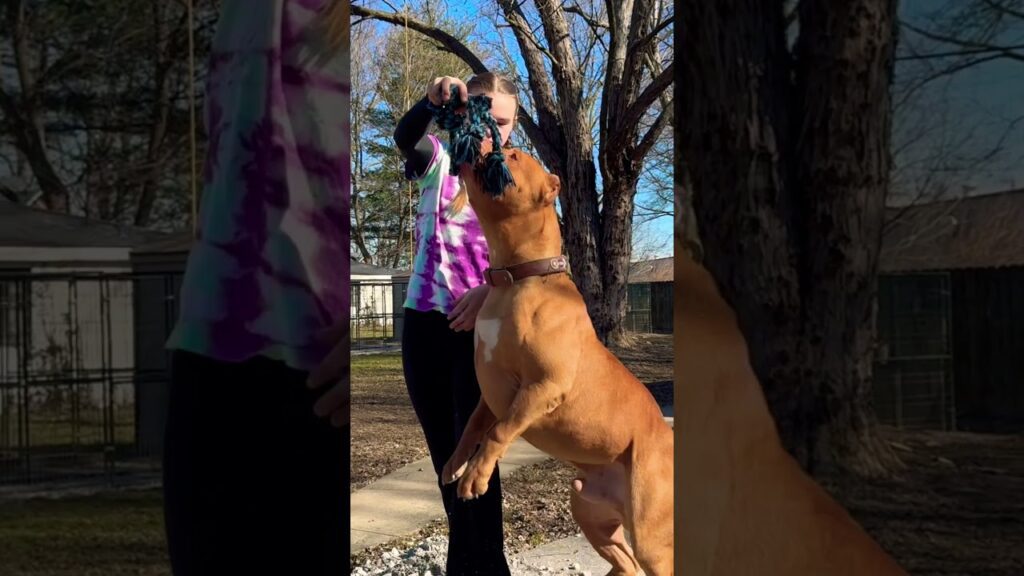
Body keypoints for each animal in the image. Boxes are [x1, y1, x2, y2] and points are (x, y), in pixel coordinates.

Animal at [444, 148, 675, 573]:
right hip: (588, 508)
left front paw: (475, 478)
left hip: (652, 535)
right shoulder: (490, 394)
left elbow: (499, 431)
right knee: (626, 564)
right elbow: (473, 426)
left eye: (513, 155)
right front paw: (455, 463)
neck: (515, 278)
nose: (485, 145)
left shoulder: (542, 386)